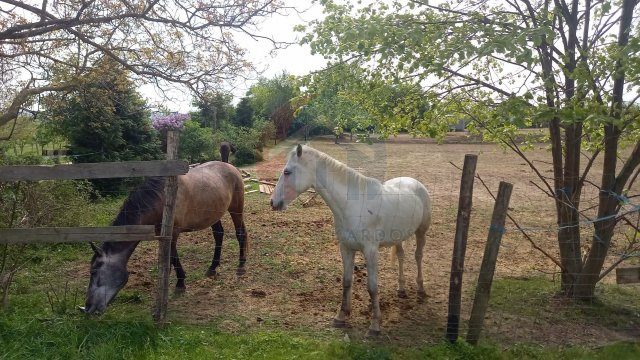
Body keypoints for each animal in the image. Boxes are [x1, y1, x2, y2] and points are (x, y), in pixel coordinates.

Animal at [83, 162, 248, 314]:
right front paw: (178, 282)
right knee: (219, 235)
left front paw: (176, 287)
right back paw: (212, 268)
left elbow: (171, 259)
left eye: (94, 272)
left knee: (240, 234)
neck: (161, 199)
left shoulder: (173, 232)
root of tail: (231, 167)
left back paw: (241, 266)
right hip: (214, 215)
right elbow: (172, 257)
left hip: (236, 209)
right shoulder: (163, 235)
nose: (88, 308)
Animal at [268, 143, 432, 334]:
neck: (353, 206)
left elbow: (372, 286)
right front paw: (341, 317)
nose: (273, 202)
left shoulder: (370, 251)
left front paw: (375, 325)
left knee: (418, 256)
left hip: (421, 232)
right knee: (401, 256)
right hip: (398, 237)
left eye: (287, 172)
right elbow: (346, 282)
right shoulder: (346, 248)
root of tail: (415, 183)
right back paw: (401, 289)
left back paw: (421, 289)